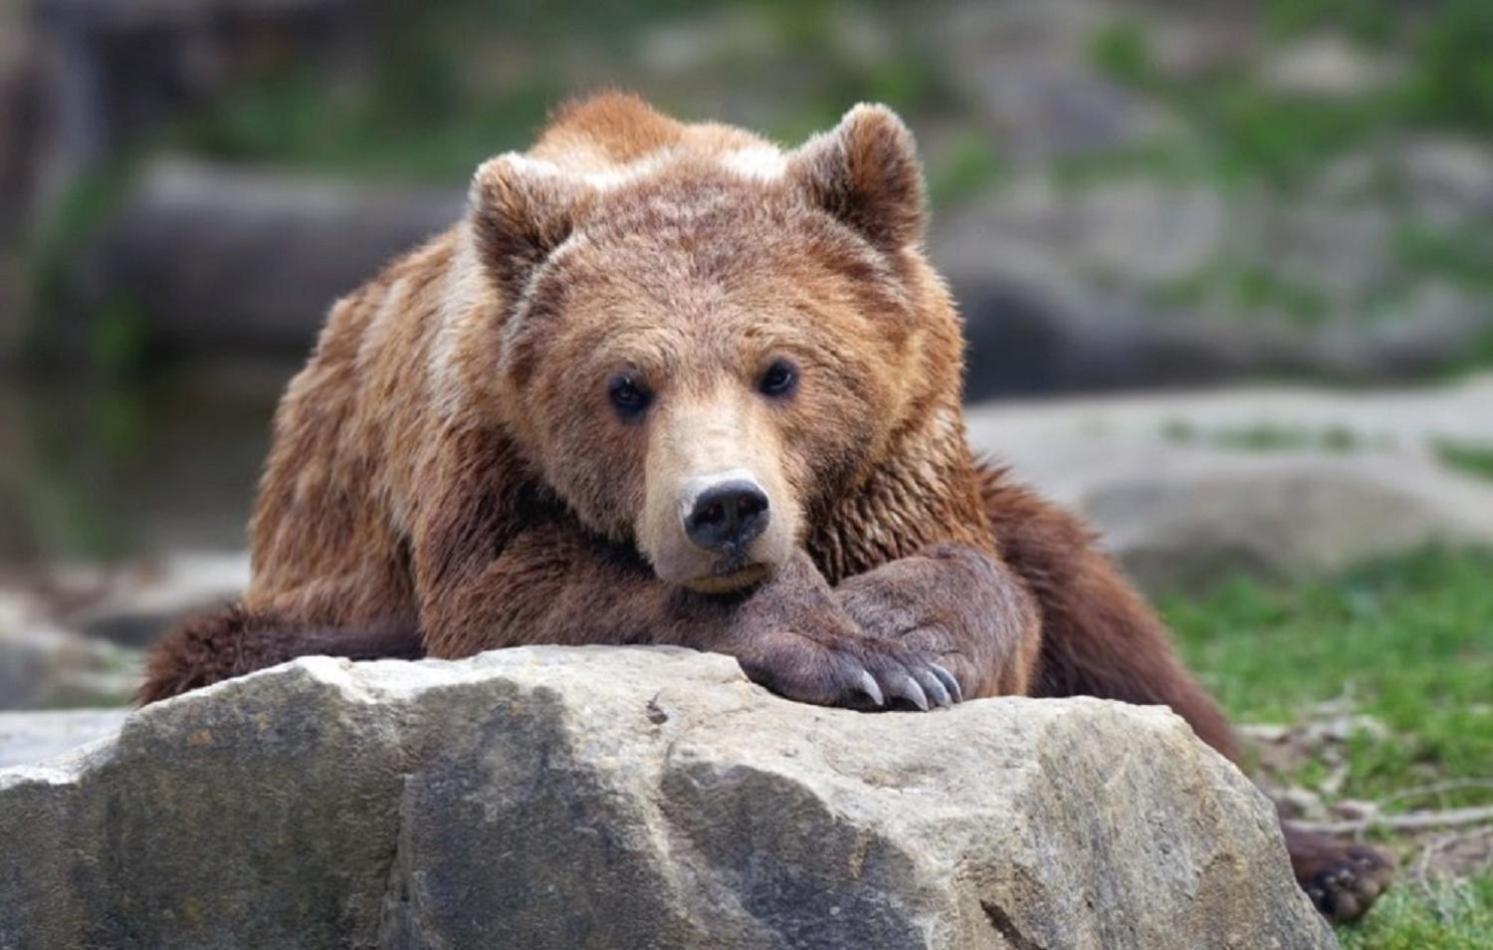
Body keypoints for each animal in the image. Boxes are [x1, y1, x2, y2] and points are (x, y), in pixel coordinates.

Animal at [137, 90, 1385, 920]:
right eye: (624, 385)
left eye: (779, 368)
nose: (724, 505)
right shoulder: (478, 467)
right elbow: (525, 591)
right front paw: (856, 652)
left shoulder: (906, 450)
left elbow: (987, 579)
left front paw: (912, 635)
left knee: (1103, 612)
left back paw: (1333, 861)